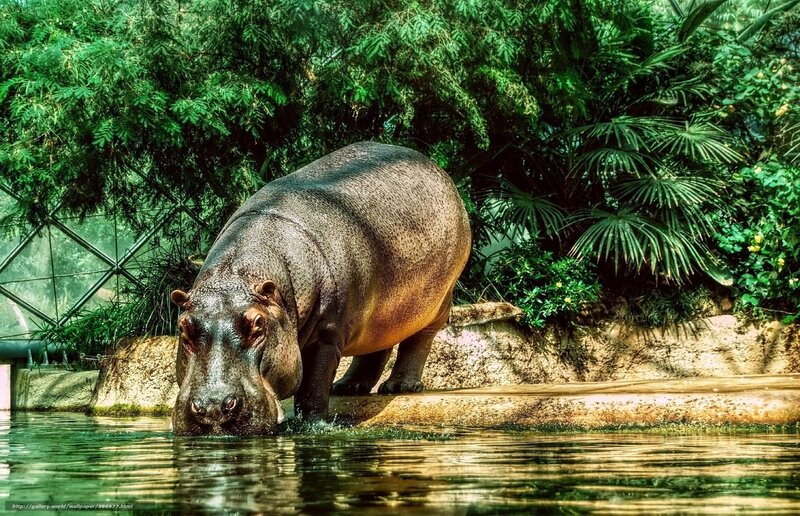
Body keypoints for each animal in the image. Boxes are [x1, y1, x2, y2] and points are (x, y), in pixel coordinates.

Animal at [170, 142, 471, 435]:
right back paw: (347, 387)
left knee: (419, 340)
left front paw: (313, 425)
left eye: (258, 324)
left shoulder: (326, 334)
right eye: (183, 327)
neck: (238, 275)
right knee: (378, 346)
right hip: (381, 311)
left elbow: (314, 385)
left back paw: (399, 387)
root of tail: (436, 169)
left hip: (437, 301)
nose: (213, 408)